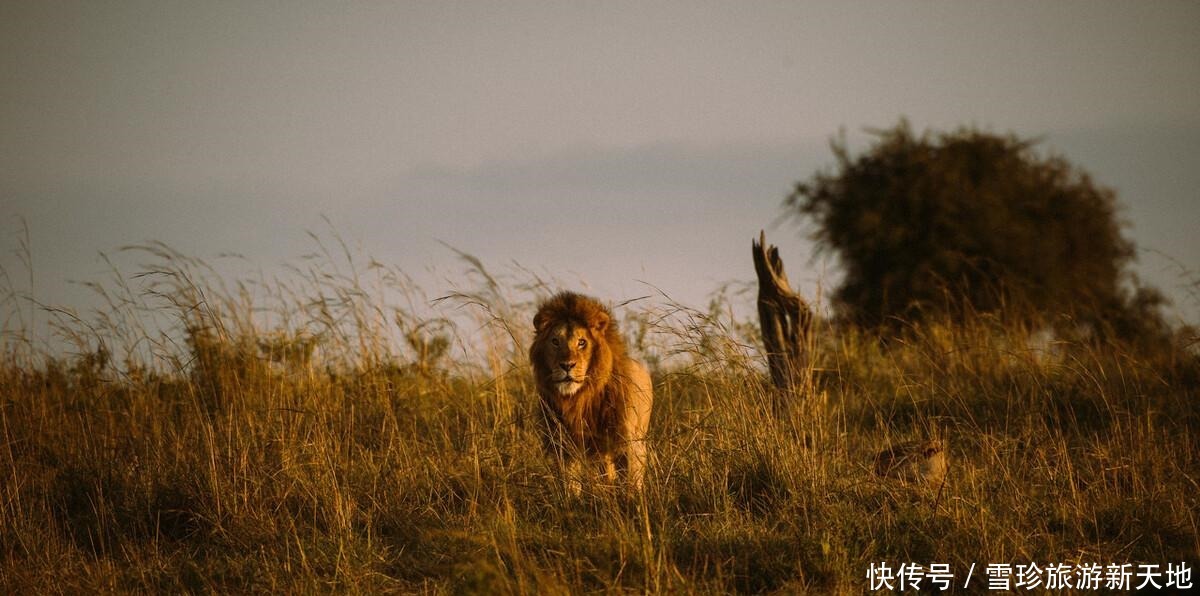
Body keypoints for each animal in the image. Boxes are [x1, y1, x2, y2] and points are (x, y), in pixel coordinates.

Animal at [530, 290, 652, 489]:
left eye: (582, 342)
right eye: (555, 341)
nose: (567, 365)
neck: (581, 398)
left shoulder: (625, 442)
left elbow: (630, 483)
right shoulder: (566, 445)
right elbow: (570, 483)